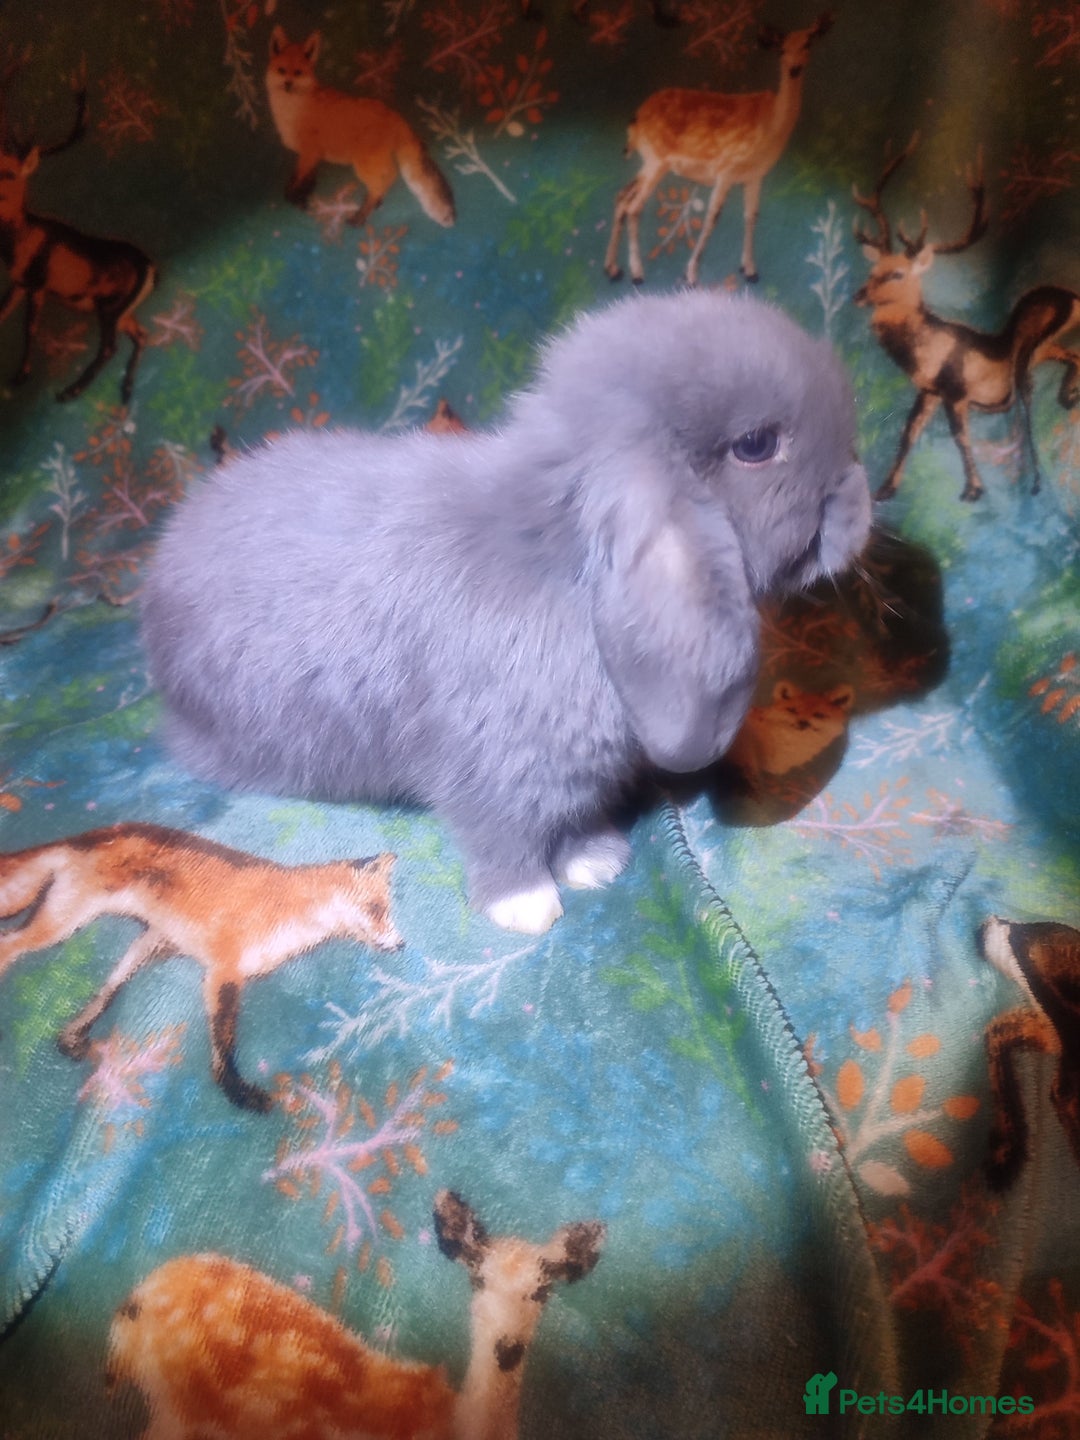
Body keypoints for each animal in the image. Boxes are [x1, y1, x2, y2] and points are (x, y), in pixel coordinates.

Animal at [141, 290, 871, 934]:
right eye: (756, 444)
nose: (863, 501)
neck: (560, 554)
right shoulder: (489, 768)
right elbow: (502, 835)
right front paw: (526, 907)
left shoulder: (569, 777)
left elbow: (573, 821)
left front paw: (596, 861)